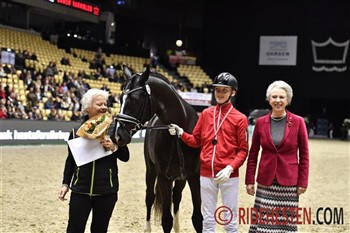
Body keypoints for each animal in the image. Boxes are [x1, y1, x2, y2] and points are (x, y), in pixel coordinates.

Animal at [115, 66, 202, 233]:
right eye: (121, 98)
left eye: (135, 99)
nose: (118, 134)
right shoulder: (163, 178)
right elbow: (166, 220)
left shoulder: (194, 176)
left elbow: (197, 218)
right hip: (151, 170)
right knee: (149, 197)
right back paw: (147, 228)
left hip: (180, 178)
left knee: (176, 197)